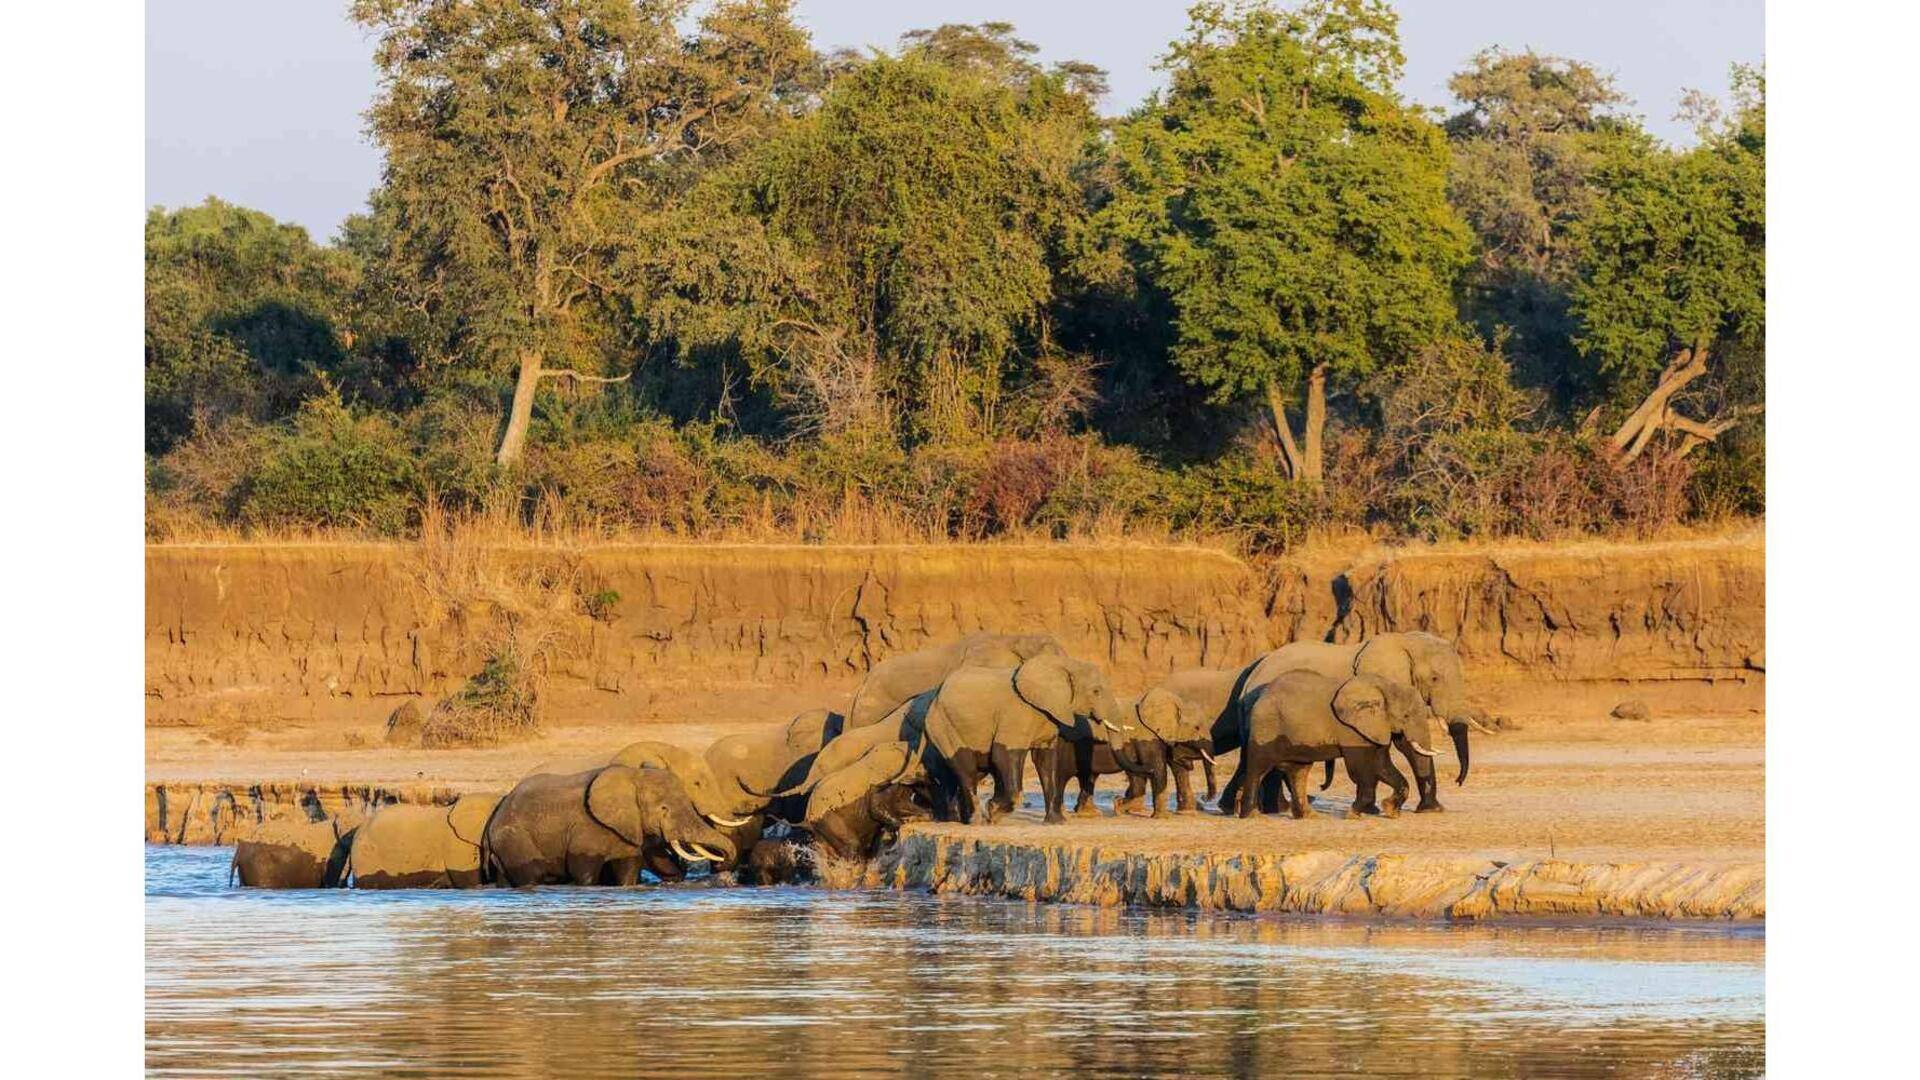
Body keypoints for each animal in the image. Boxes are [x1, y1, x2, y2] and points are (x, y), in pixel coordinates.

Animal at [483, 757, 737, 883]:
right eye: (663, 808)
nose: (723, 870)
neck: (633, 776)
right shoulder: (585, 827)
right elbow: (583, 872)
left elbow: (628, 870)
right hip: (513, 838)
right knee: (532, 874)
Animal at [1236, 664, 1436, 814]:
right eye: (1406, 716)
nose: (1321, 786)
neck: (1386, 686)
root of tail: (1259, 695)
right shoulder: (1350, 730)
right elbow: (1359, 767)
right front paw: (1354, 813)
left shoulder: (1374, 728)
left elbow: (1381, 764)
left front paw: (1390, 810)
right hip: (1266, 726)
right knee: (1259, 767)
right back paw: (1251, 815)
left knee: (1297, 770)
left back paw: (1307, 815)